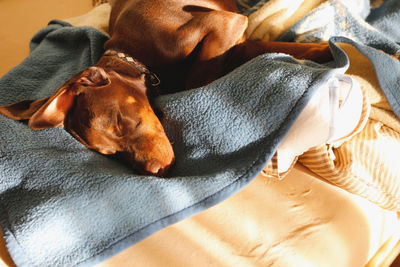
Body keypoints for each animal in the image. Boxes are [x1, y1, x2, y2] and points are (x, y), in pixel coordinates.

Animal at [0, 0, 332, 177]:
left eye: (119, 121)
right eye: (109, 152)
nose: (156, 171)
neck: (133, 52)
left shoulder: (225, 23)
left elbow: (203, 75)